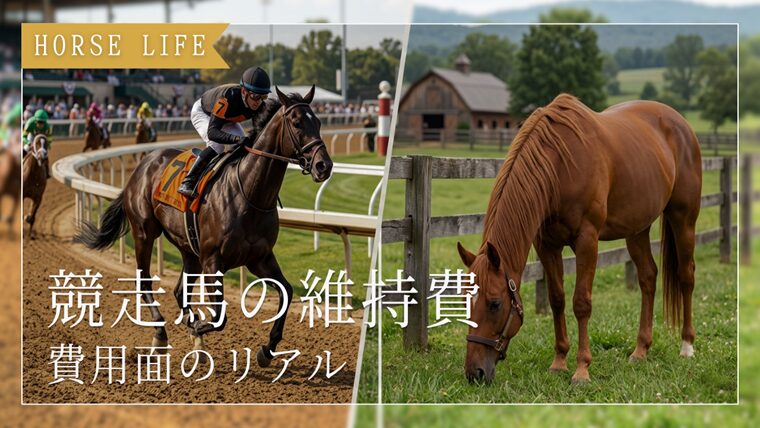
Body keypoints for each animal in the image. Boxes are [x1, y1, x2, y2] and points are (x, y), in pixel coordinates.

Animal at [74, 86, 333, 366]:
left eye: (318, 123)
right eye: (296, 123)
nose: (324, 165)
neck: (249, 193)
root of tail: (143, 165)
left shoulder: (259, 258)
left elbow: (286, 291)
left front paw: (267, 349)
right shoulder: (213, 260)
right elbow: (219, 317)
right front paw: (197, 328)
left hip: (190, 249)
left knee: (179, 291)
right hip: (144, 232)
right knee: (144, 283)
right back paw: (161, 334)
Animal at [457, 94, 702, 385]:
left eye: (495, 304)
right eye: (464, 301)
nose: (475, 373)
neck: (559, 166)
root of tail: (681, 123)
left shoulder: (587, 241)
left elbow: (581, 303)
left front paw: (582, 370)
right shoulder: (547, 245)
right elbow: (557, 299)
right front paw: (559, 361)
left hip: (683, 218)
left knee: (686, 276)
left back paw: (687, 346)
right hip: (637, 229)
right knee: (648, 277)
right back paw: (640, 350)